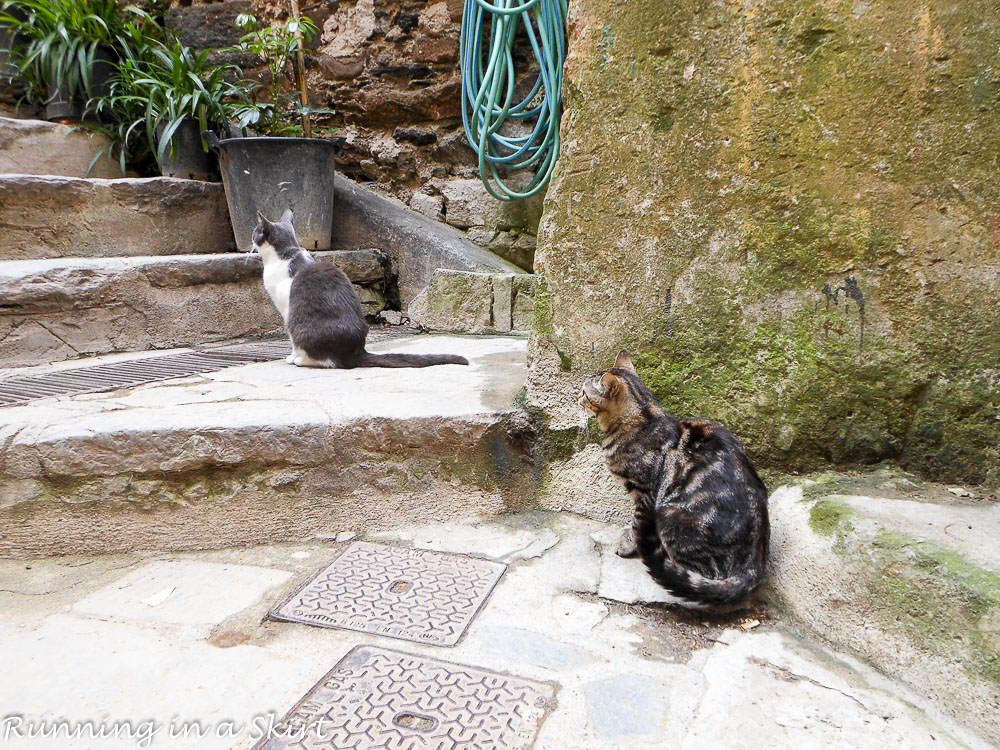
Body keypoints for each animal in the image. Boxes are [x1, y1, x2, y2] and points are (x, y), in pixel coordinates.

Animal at [250, 210, 468, 368]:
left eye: (255, 232)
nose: (250, 239)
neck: (286, 253)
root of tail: (355, 352)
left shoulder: (286, 308)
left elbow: (292, 342)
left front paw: (291, 356)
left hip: (299, 322)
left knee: (325, 358)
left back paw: (302, 360)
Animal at [584, 352, 768, 604]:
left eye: (585, 393)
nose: (577, 397)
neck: (643, 417)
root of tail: (754, 567)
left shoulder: (645, 492)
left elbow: (636, 523)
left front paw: (628, 543)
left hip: (670, 515)